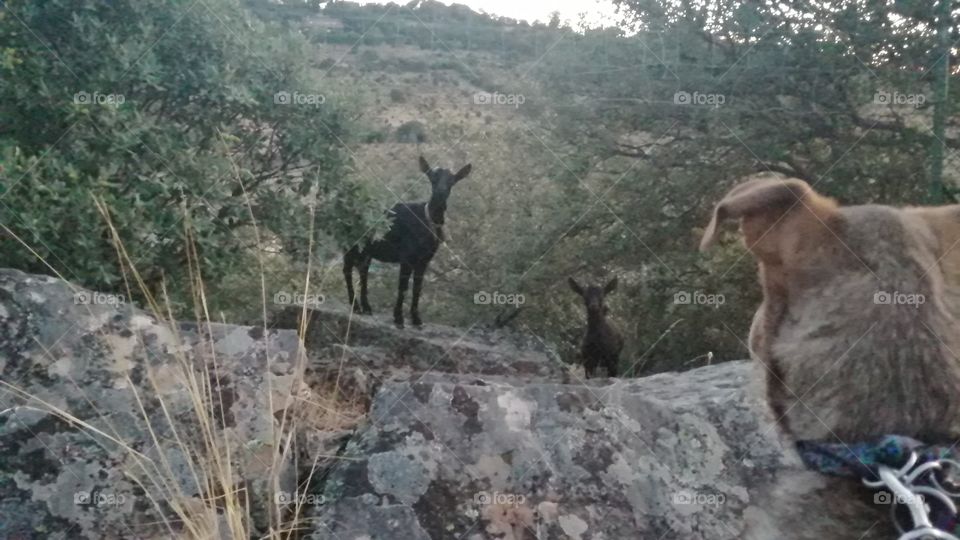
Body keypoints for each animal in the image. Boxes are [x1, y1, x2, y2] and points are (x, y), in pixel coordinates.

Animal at [344, 156, 472, 328]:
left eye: (452, 180)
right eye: (432, 177)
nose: (441, 192)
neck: (427, 220)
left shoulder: (424, 260)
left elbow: (417, 288)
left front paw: (416, 319)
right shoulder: (406, 257)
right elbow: (403, 287)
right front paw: (398, 318)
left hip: (366, 251)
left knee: (363, 271)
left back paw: (367, 308)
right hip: (351, 244)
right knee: (347, 270)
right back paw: (356, 307)